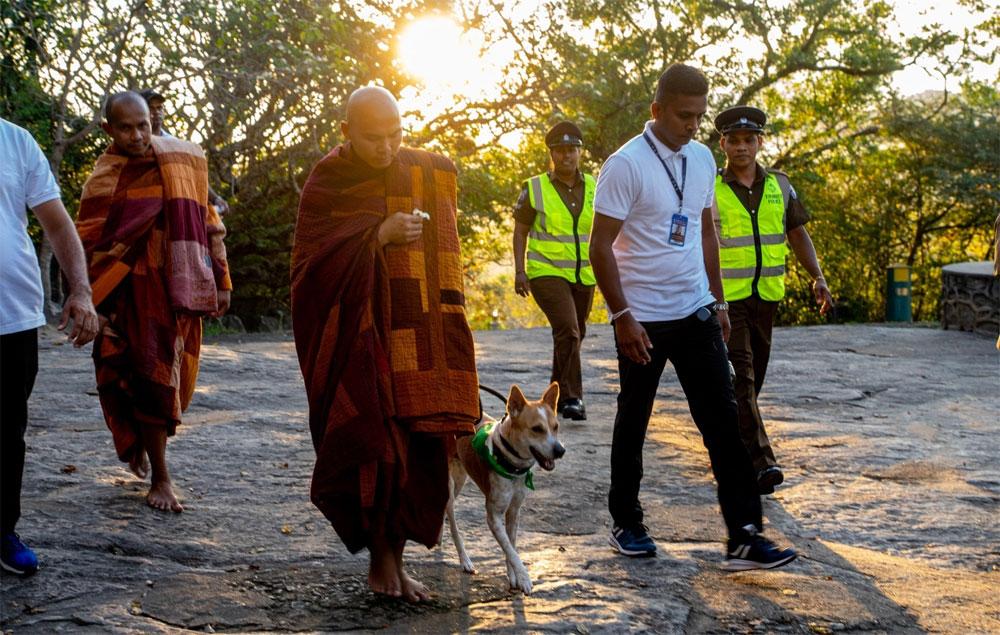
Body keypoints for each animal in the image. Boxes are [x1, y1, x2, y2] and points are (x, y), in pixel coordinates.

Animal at [445, 381, 565, 595]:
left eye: (556, 427)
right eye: (537, 429)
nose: (560, 450)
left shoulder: (514, 511)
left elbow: (511, 545)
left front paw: (513, 577)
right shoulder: (493, 515)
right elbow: (511, 550)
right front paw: (524, 578)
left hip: (460, 479)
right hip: (450, 485)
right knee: (453, 523)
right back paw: (465, 560)